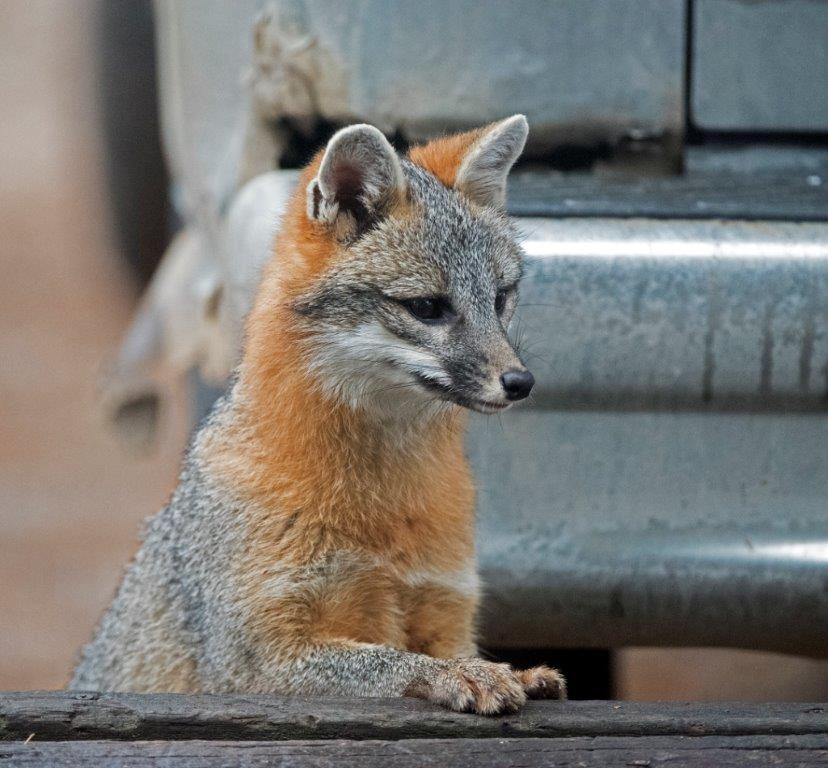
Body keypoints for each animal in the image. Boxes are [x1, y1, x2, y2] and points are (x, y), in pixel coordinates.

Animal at [71, 115, 566, 714]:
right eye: (427, 307)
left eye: (500, 299)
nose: (520, 382)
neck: (382, 506)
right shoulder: (256, 658)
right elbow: (386, 662)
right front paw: (457, 675)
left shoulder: (446, 606)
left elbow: (431, 649)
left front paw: (507, 670)